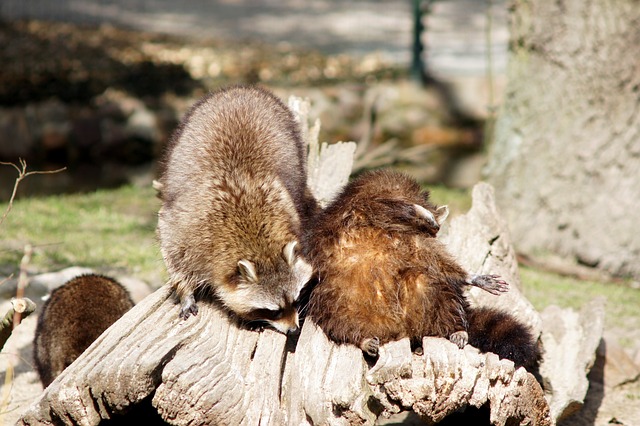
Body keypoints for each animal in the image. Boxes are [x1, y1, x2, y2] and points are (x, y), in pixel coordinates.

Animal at [155, 85, 316, 332]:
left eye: (296, 299)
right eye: (273, 311)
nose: (293, 330)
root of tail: (242, 89)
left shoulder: (287, 209)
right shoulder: (186, 229)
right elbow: (173, 252)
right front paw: (185, 291)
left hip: (293, 139)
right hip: (182, 136)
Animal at [308, 170, 536, 370]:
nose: (433, 225)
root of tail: (397, 330)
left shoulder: (412, 240)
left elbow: (437, 260)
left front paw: (470, 277)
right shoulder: (366, 199)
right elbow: (382, 202)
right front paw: (416, 210)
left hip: (422, 300)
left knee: (436, 287)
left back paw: (455, 327)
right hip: (336, 295)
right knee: (335, 318)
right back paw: (361, 338)